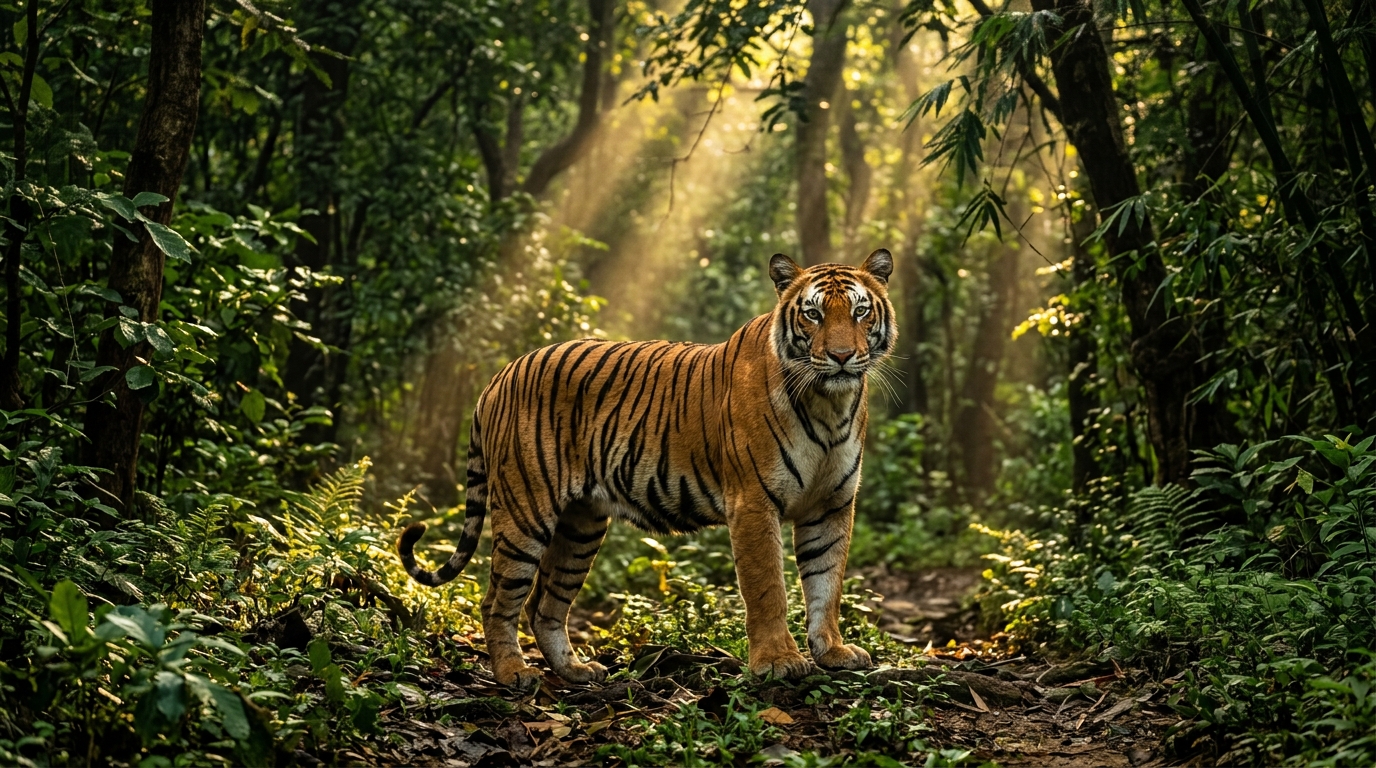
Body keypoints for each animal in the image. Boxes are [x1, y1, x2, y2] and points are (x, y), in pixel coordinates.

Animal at [398, 249, 896, 689]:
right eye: (813, 314)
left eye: (859, 312)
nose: (841, 356)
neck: (829, 403)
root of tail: (500, 376)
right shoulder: (754, 503)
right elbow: (768, 587)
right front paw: (778, 662)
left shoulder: (831, 505)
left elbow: (827, 583)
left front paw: (833, 651)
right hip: (526, 512)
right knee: (497, 600)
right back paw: (512, 674)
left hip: (580, 525)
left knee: (545, 604)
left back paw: (575, 672)